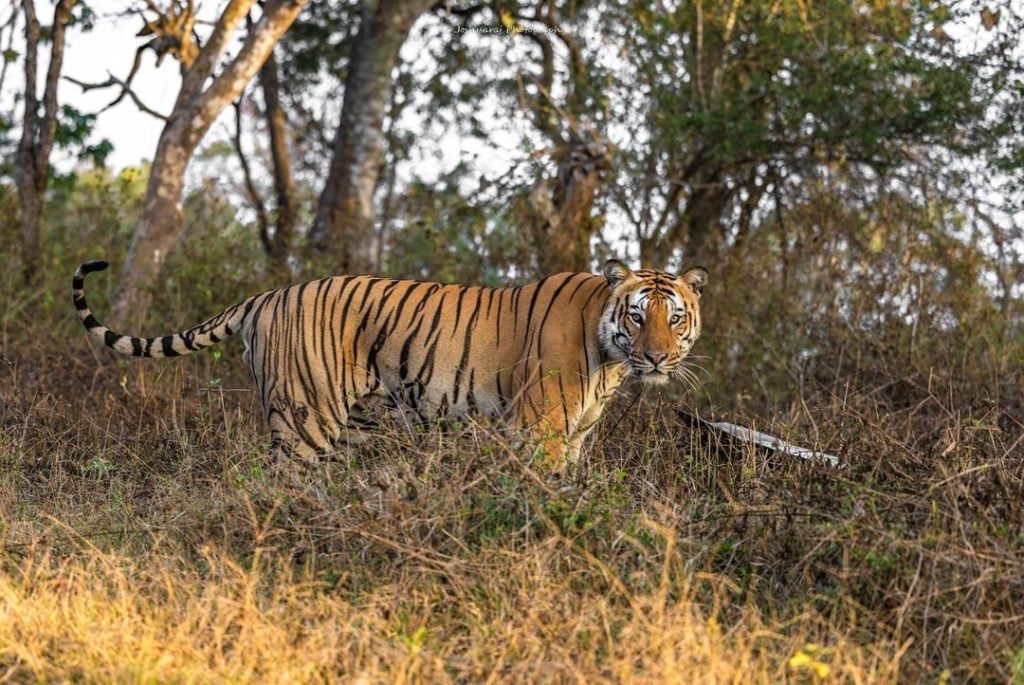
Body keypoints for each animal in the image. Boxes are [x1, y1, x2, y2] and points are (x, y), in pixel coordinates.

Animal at [72, 255, 708, 471]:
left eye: (674, 319)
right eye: (637, 317)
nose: (656, 357)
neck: (611, 360)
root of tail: (267, 295)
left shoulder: (575, 437)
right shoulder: (539, 430)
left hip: (353, 424)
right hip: (306, 419)